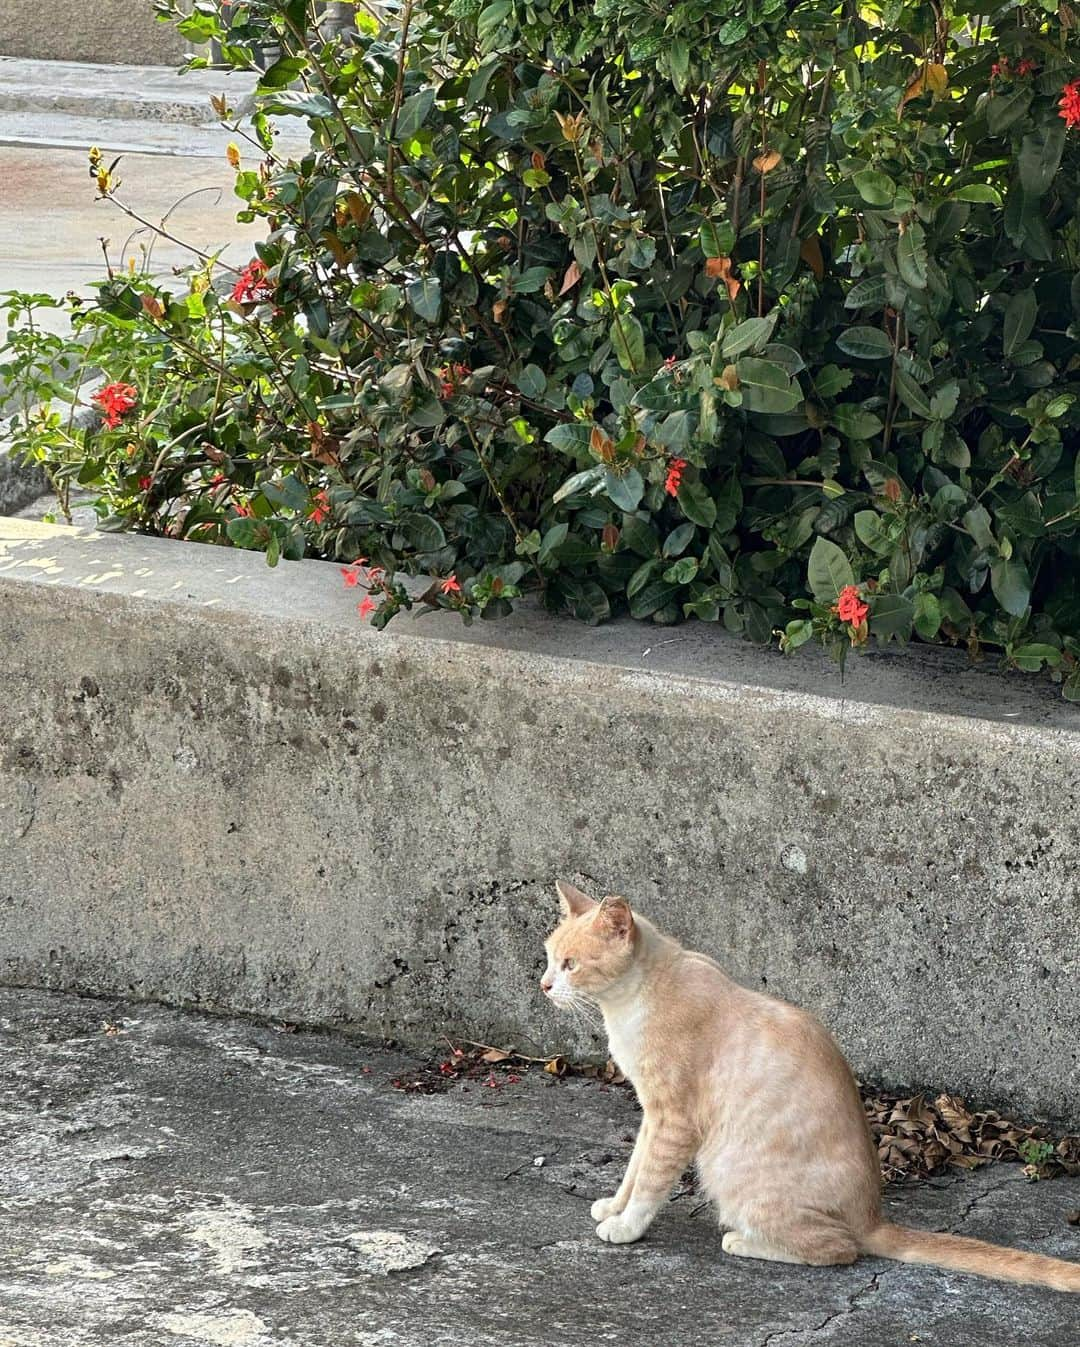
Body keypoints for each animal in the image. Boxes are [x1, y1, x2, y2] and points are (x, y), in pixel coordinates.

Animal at [544, 883, 1077, 1293]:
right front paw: (614, 1206)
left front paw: (626, 1227)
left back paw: (743, 1241)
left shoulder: (673, 1119)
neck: (629, 1004)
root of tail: (873, 1217)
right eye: (548, 958)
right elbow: (633, 1171)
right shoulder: (652, 1114)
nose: (545, 985)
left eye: (571, 964)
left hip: (728, 1170)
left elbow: (651, 1182)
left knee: (838, 1250)